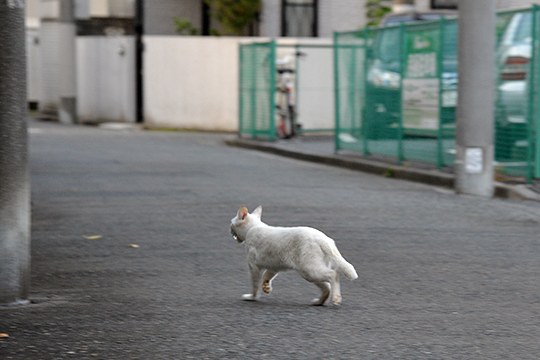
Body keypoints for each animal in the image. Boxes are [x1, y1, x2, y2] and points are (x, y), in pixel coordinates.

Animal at [229, 207, 358, 306]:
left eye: (231, 225)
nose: (230, 232)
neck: (252, 228)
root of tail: (324, 239)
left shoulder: (254, 266)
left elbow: (255, 285)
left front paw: (251, 297)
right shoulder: (274, 266)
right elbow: (267, 276)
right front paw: (266, 286)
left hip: (309, 270)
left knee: (333, 275)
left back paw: (336, 298)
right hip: (310, 273)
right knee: (327, 287)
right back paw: (318, 302)